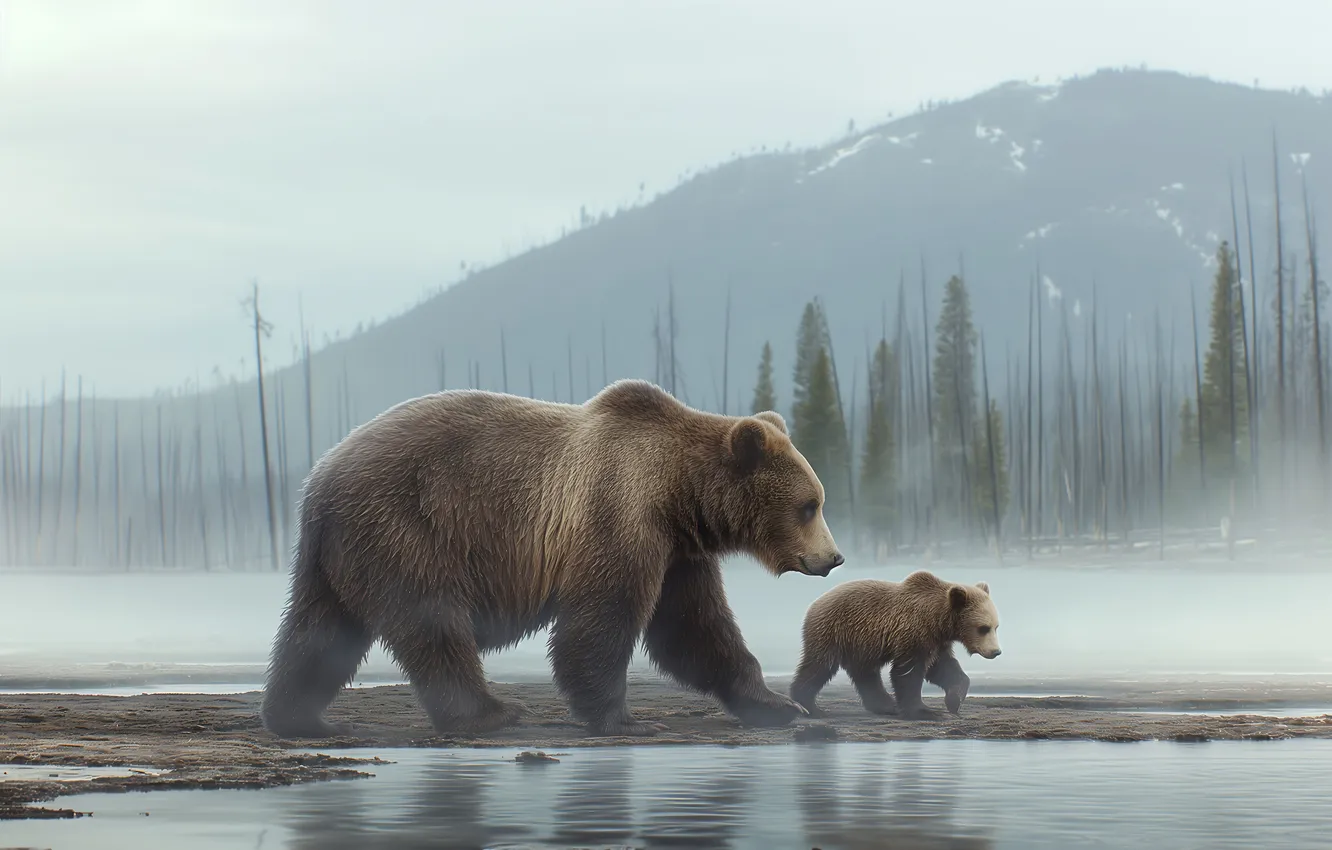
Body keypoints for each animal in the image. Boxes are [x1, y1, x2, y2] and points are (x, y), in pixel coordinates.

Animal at [260, 379, 845, 740]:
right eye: (809, 504)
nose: (834, 557)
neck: (679, 494)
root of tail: (318, 479)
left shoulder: (678, 553)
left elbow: (695, 629)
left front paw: (776, 704)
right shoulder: (618, 514)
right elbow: (600, 620)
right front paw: (622, 718)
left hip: (336, 555)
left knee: (317, 631)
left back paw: (300, 718)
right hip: (407, 526)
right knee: (432, 622)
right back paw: (491, 713)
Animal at [788, 571, 1000, 721]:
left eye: (996, 626)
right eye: (983, 628)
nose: (996, 651)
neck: (938, 621)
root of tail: (815, 603)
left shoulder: (936, 642)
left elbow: (943, 668)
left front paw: (954, 700)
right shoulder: (913, 633)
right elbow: (908, 673)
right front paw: (925, 711)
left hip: (860, 642)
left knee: (865, 672)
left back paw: (885, 705)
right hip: (834, 631)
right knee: (819, 666)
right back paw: (810, 706)